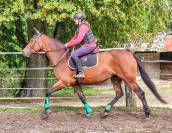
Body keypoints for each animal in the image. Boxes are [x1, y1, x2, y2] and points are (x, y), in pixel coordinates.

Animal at [22, 29, 166, 118]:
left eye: (32, 41)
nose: (24, 52)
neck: (61, 57)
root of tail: (129, 53)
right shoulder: (74, 83)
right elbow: (82, 97)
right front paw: (89, 111)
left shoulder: (64, 82)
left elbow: (47, 92)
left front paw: (47, 110)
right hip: (115, 79)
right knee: (119, 94)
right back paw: (105, 111)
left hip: (129, 79)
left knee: (140, 93)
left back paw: (147, 113)